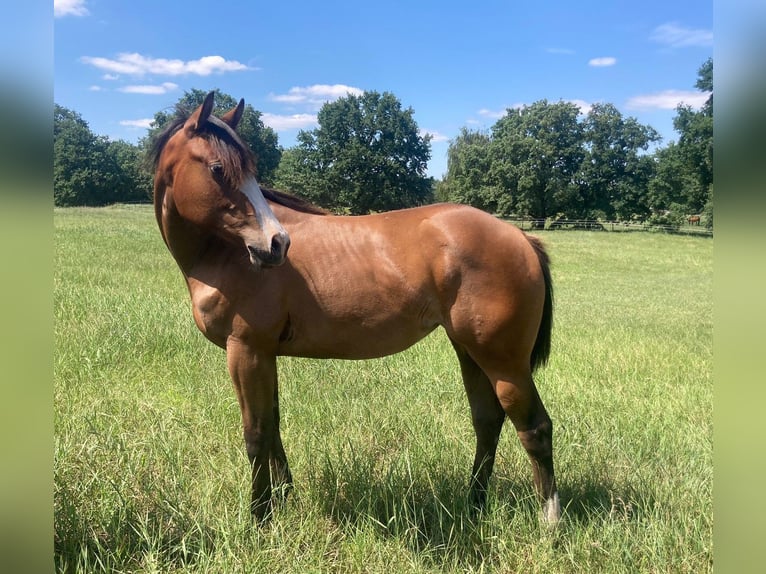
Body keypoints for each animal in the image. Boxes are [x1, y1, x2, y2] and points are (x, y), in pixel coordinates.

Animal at [150, 92, 560, 528]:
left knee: (535, 427)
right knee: (487, 421)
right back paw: (474, 504)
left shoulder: (245, 350)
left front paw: (260, 518)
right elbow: (273, 425)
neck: (224, 253)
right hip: (469, 351)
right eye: (217, 169)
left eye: (249, 170)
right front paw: (285, 499)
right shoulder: (264, 354)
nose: (277, 244)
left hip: (504, 362)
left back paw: (549, 520)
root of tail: (519, 236)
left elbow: (256, 434)